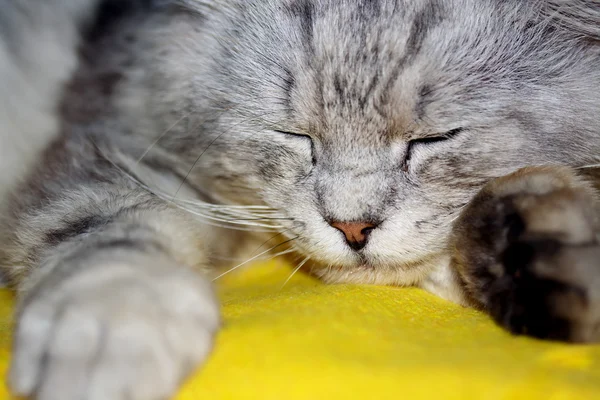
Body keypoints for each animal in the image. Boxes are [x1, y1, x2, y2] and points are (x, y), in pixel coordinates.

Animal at [0, 0, 596, 400]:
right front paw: (109, 332)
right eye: (296, 135)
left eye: (435, 138)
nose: (352, 227)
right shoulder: (113, 146)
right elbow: (106, 238)